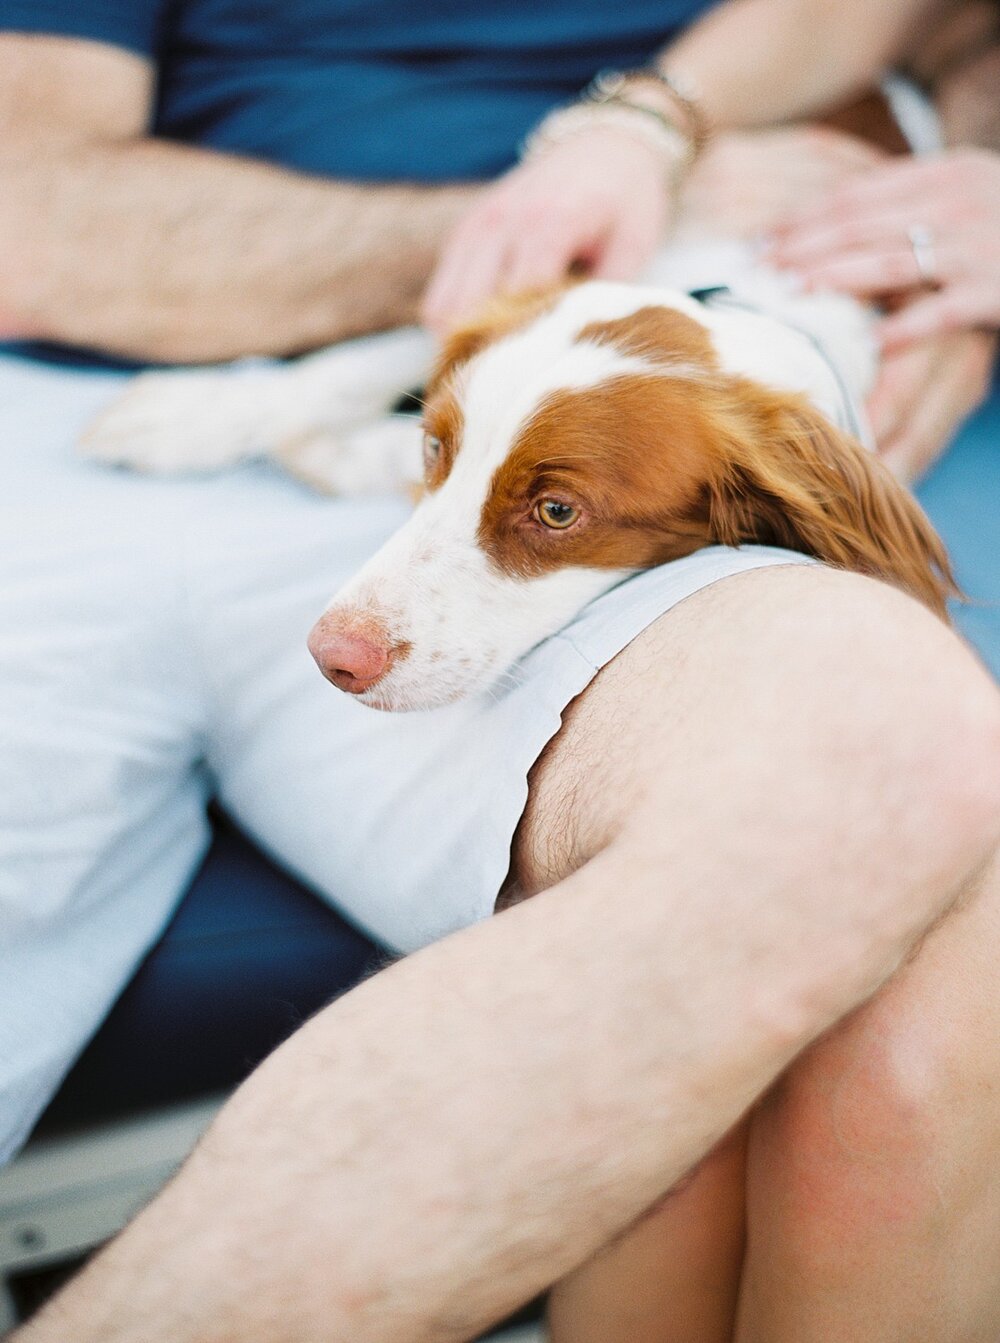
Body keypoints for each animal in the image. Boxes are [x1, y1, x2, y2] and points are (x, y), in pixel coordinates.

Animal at [77, 245, 950, 709]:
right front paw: (185, 415)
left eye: (557, 511)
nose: (333, 658)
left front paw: (324, 451)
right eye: (435, 448)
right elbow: (351, 366)